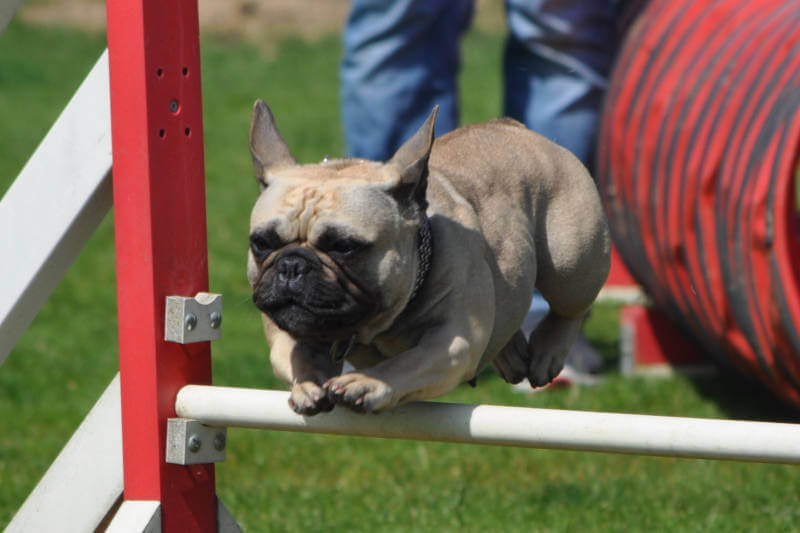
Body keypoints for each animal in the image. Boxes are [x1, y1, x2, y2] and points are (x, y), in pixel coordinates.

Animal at [247, 101, 608, 416]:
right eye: (261, 243)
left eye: (344, 246)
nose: (292, 265)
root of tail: (512, 127)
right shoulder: (285, 331)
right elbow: (295, 354)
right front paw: (308, 385)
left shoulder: (452, 344)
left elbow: (407, 363)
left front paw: (367, 383)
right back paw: (512, 354)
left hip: (570, 264)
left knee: (570, 307)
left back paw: (548, 351)